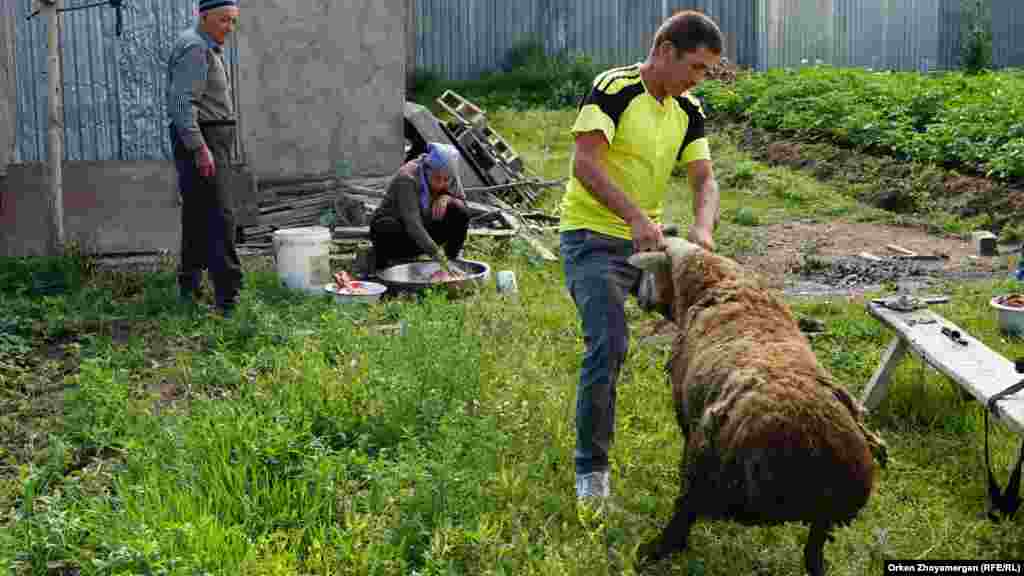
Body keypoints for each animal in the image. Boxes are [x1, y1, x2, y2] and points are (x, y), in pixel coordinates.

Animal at [626, 236, 884, 573]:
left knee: (683, 515)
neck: (716, 284)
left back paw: (653, 551)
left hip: (703, 472)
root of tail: (809, 443)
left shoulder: (685, 418)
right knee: (813, 552)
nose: (634, 294)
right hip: (825, 518)